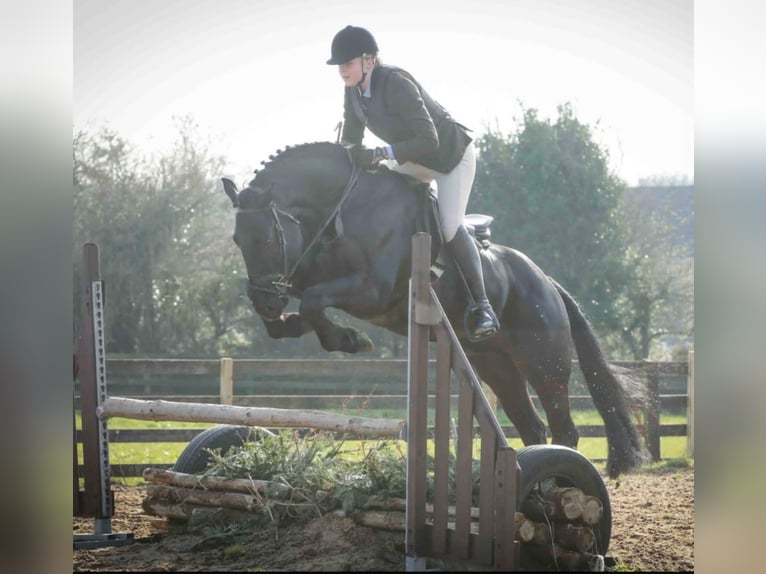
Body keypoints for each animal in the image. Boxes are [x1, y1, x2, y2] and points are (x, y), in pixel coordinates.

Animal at [221, 141, 647, 478]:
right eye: (236, 240)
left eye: (267, 238)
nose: (267, 302)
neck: (341, 207)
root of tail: (548, 282)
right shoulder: (306, 272)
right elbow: (302, 305)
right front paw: (290, 324)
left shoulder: (371, 290)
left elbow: (314, 301)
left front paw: (351, 339)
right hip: (495, 365)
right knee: (532, 425)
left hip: (544, 363)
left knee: (564, 427)